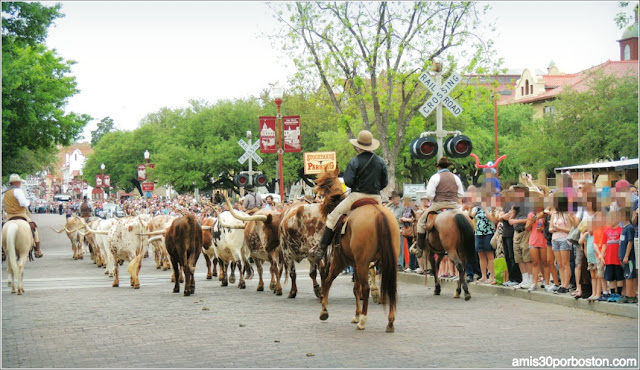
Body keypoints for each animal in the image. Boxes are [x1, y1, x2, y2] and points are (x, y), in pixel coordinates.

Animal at [312, 169, 398, 334]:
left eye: (322, 188)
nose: (316, 198)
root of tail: (379, 214)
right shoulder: (356, 265)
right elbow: (355, 288)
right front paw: (356, 315)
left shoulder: (340, 261)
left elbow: (329, 280)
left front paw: (324, 310)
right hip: (387, 262)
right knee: (390, 287)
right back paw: (390, 322)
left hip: (362, 261)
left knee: (366, 288)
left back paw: (363, 321)